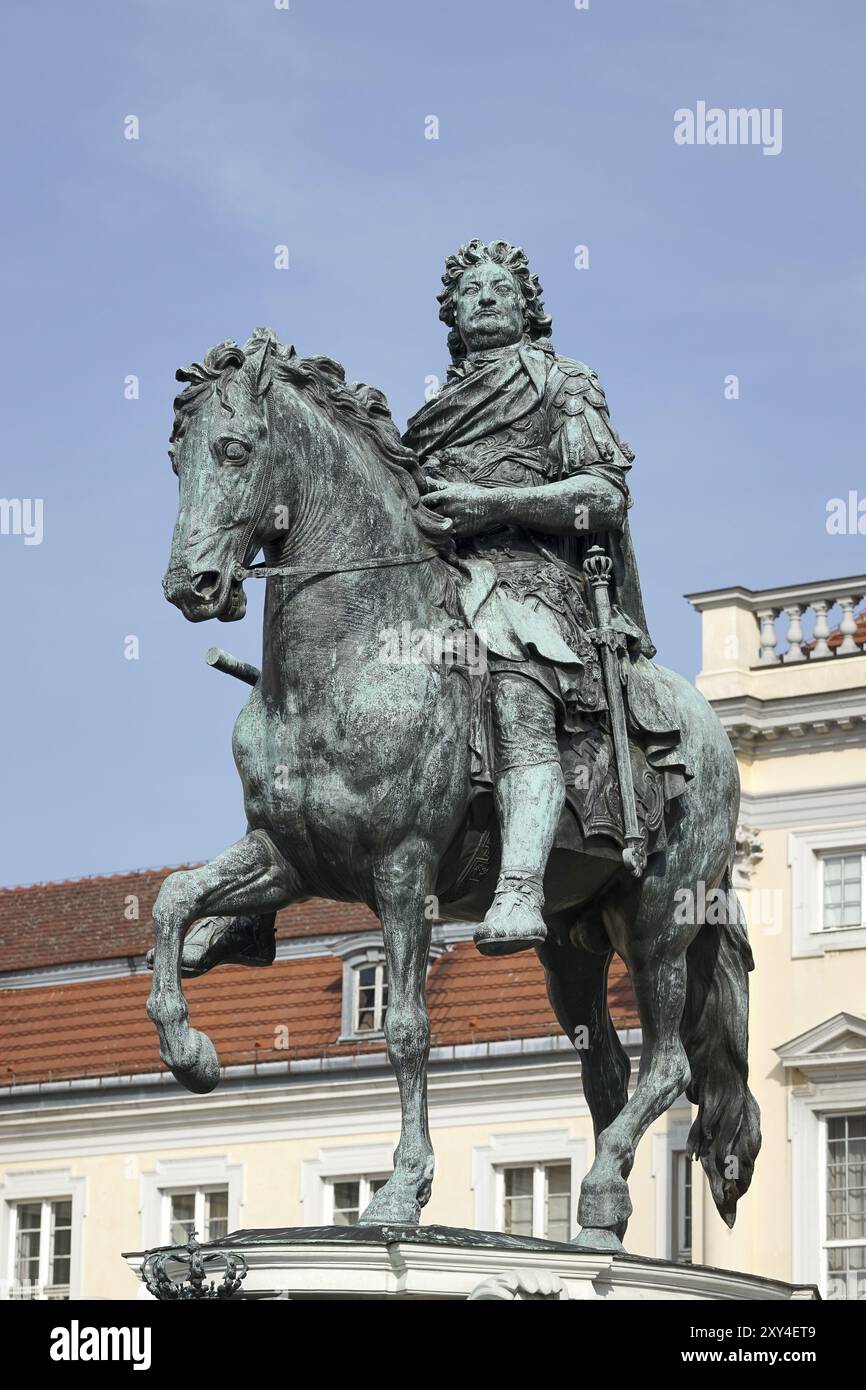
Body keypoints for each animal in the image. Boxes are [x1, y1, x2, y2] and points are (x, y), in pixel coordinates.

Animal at [148, 328, 756, 1251]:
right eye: (175, 458)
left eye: (235, 449)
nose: (192, 587)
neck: (346, 664)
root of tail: (710, 728)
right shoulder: (287, 855)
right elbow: (173, 900)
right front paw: (191, 1050)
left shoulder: (403, 870)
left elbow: (406, 1030)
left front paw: (401, 1192)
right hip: (571, 940)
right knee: (608, 1067)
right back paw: (599, 1218)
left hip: (659, 916)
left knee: (669, 1064)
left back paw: (601, 1188)